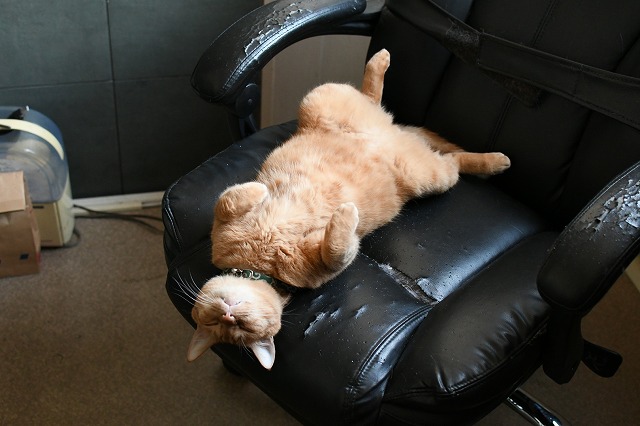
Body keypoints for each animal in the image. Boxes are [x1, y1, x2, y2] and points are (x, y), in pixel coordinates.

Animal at [187, 49, 511, 369]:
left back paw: (381, 61)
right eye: (222, 325)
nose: (229, 314)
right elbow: (337, 247)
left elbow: (229, 198)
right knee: (452, 160)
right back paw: (491, 161)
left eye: (237, 325)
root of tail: (394, 132)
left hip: (321, 98)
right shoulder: (333, 259)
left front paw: (262, 190)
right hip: (429, 175)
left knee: (373, 96)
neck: (257, 266)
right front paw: (345, 214)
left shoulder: (223, 220)